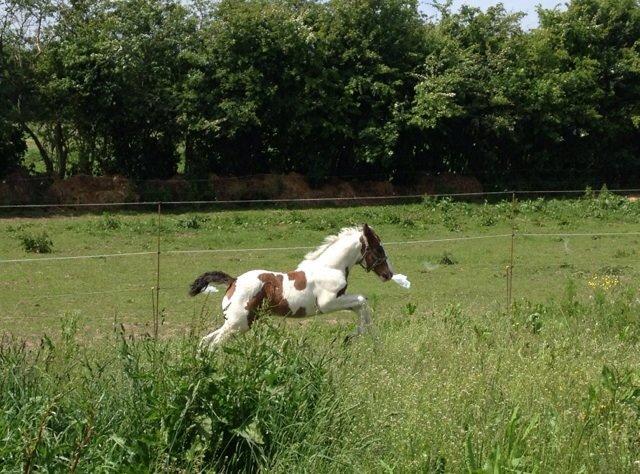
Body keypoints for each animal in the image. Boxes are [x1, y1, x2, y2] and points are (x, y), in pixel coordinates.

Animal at [188, 222, 392, 348]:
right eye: (378, 248)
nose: (388, 274)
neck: (330, 267)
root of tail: (233, 281)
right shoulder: (328, 303)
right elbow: (362, 300)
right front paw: (353, 337)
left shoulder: (341, 300)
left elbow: (361, 305)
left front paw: (369, 341)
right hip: (239, 324)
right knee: (214, 345)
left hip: (234, 322)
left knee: (205, 342)